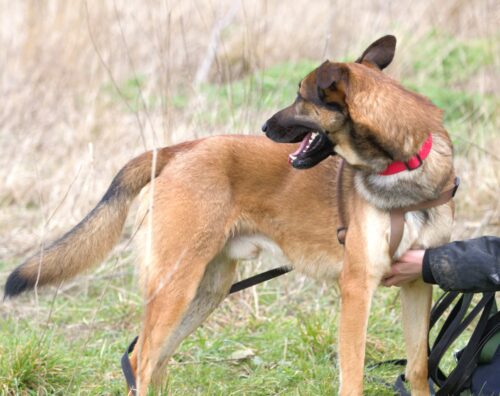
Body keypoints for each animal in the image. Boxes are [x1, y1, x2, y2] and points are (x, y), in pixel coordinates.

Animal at [4, 35, 458, 394]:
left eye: (300, 97)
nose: (264, 127)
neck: (403, 162)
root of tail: (178, 150)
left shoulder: (417, 284)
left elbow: (419, 367)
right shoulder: (356, 289)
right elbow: (354, 376)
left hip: (205, 290)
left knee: (152, 361)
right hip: (176, 285)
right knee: (142, 361)